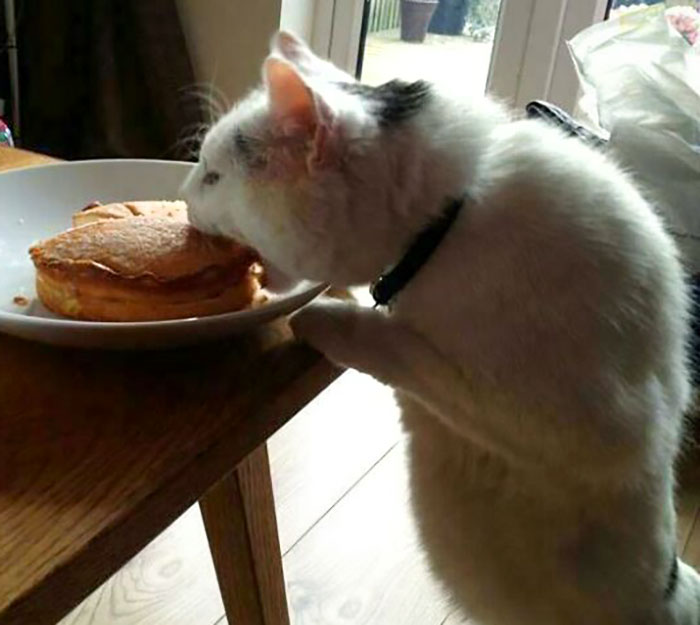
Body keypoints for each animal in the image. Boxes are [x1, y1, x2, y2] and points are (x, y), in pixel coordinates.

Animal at [182, 30, 700, 624]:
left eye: (213, 177)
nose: (184, 195)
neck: (452, 214)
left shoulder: (571, 425)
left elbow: (403, 352)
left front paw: (325, 317)